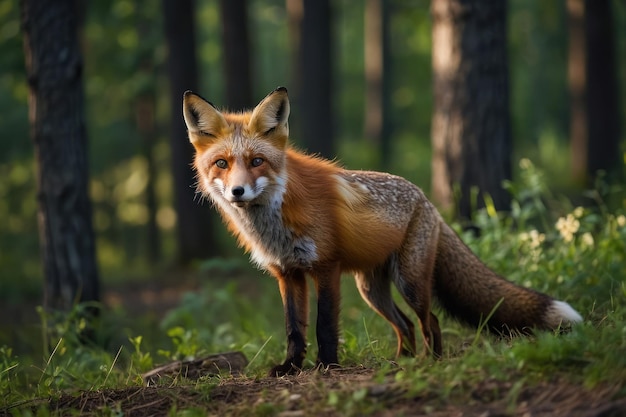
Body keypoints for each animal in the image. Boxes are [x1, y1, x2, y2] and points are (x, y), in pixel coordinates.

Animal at [180, 86, 580, 376]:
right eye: (221, 163)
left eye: (257, 161)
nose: (237, 192)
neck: (275, 218)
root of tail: (427, 201)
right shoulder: (287, 272)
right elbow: (294, 328)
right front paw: (291, 367)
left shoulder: (325, 267)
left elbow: (325, 325)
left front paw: (327, 366)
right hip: (372, 289)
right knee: (404, 326)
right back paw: (402, 360)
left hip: (410, 281)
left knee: (430, 321)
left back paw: (430, 362)